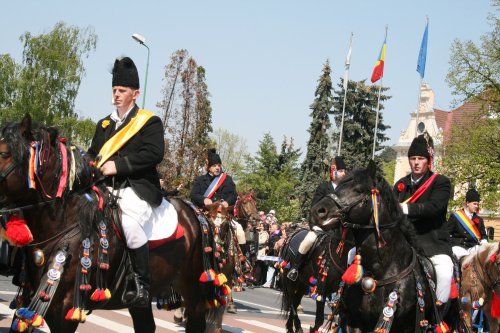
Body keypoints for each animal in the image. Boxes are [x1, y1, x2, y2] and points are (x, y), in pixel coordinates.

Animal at [0, 115, 221, 332]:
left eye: (4, 153)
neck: (68, 219)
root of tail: (195, 210)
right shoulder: (34, 298)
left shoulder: (64, 307)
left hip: (193, 289)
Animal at [310, 160, 462, 330]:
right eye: (337, 187)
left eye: (358, 190)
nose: (317, 211)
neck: (380, 270)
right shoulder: (352, 322)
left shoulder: (403, 325)